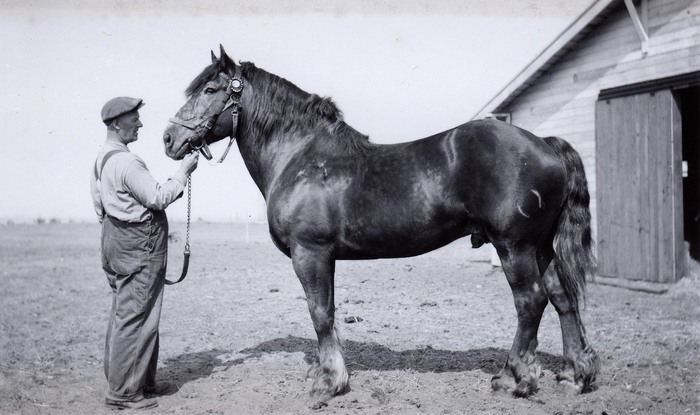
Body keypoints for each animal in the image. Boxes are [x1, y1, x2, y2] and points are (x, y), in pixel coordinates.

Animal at [161, 45, 600, 400]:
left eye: (210, 90)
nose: (168, 139)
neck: (301, 156)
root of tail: (545, 145)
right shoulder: (323, 257)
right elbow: (328, 312)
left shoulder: (310, 254)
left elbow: (320, 313)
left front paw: (329, 383)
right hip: (540, 249)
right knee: (562, 298)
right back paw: (574, 375)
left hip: (514, 247)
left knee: (531, 302)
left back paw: (513, 379)